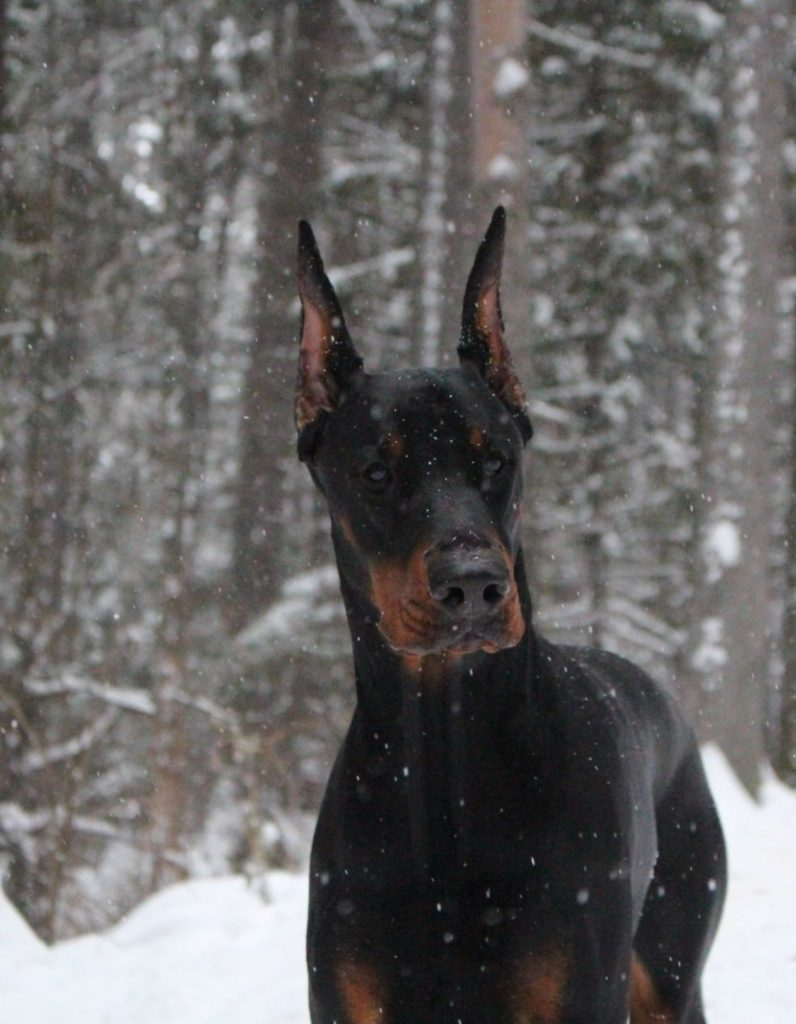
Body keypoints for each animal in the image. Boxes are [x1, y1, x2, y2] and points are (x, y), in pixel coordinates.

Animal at [292, 207, 725, 1024]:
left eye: (496, 459)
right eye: (376, 472)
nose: (475, 586)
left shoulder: (581, 992)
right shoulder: (345, 999)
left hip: (668, 970)